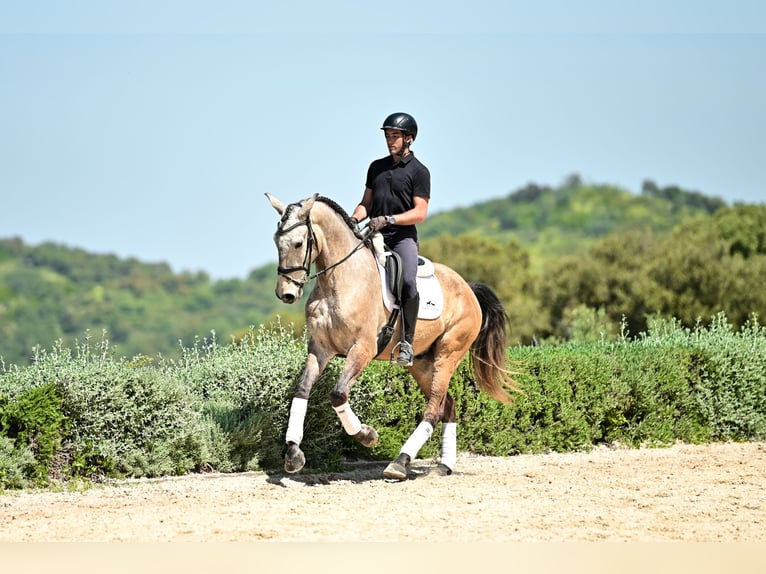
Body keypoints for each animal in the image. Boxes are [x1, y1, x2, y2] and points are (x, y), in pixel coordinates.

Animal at [268, 194, 520, 482]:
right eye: (277, 242)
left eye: (299, 243)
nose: (286, 293)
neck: (338, 281)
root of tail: (468, 288)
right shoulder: (319, 348)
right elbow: (302, 390)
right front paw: (293, 453)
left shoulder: (362, 349)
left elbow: (338, 395)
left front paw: (367, 435)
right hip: (422, 363)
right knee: (447, 405)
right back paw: (443, 466)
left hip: (448, 353)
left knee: (433, 409)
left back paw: (400, 462)